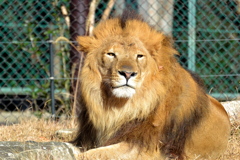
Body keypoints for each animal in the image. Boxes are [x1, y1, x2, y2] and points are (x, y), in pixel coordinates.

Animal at [71, 12, 231, 160]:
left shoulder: (148, 148)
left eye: (139, 56)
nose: (127, 73)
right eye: (111, 54)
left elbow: (96, 153)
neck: (118, 108)